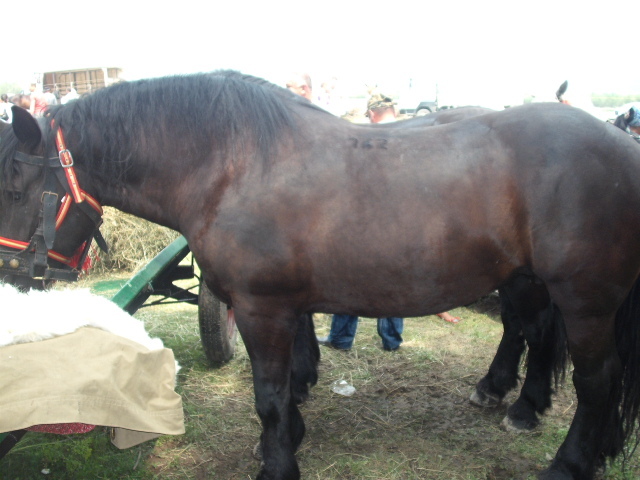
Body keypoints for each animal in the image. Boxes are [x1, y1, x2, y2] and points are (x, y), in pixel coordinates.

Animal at [1, 69, 640, 478]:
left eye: (14, 187)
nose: (15, 278)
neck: (229, 166)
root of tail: (621, 144)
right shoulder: (284, 307)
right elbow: (286, 384)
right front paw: (288, 440)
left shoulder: (261, 308)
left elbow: (270, 394)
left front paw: (278, 464)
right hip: (531, 281)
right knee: (539, 342)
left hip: (585, 302)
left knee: (597, 381)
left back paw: (568, 462)